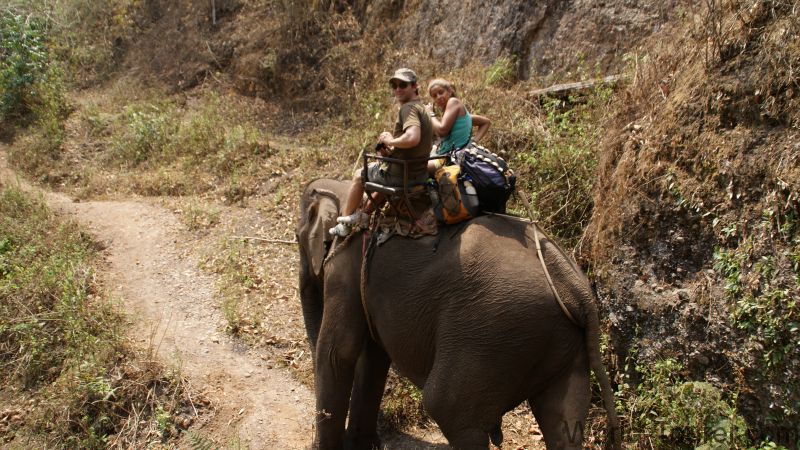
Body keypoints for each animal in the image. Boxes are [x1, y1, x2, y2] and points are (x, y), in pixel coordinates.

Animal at [297, 178, 621, 450]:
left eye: (298, 238)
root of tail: (574, 286)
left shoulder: (345, 264)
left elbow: (337, 353)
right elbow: (373, 356)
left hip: (489, 333)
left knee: (447, 407)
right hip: (562, 345)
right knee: (563, 421)